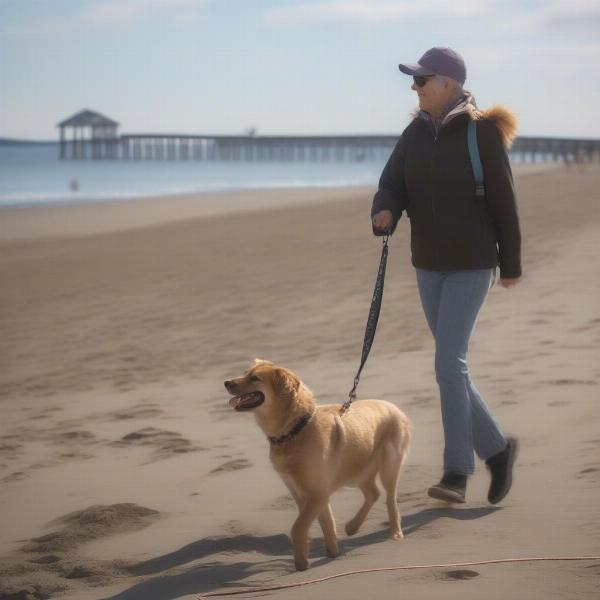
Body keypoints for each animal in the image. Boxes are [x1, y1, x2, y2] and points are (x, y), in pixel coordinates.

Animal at [223, 358, 410, 568]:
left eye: (255, 378)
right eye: (245, 373)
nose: (226, 383)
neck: (296, 429)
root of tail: (396, 408)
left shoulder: (317, 493)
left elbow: (298, 527)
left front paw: (301, 564)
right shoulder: (305, 493)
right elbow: (325, 523)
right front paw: (332, 553)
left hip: (388, 466)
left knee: (390, 499)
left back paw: (395, 533)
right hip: (355, 471)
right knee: (373, 493)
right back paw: (352, 527)